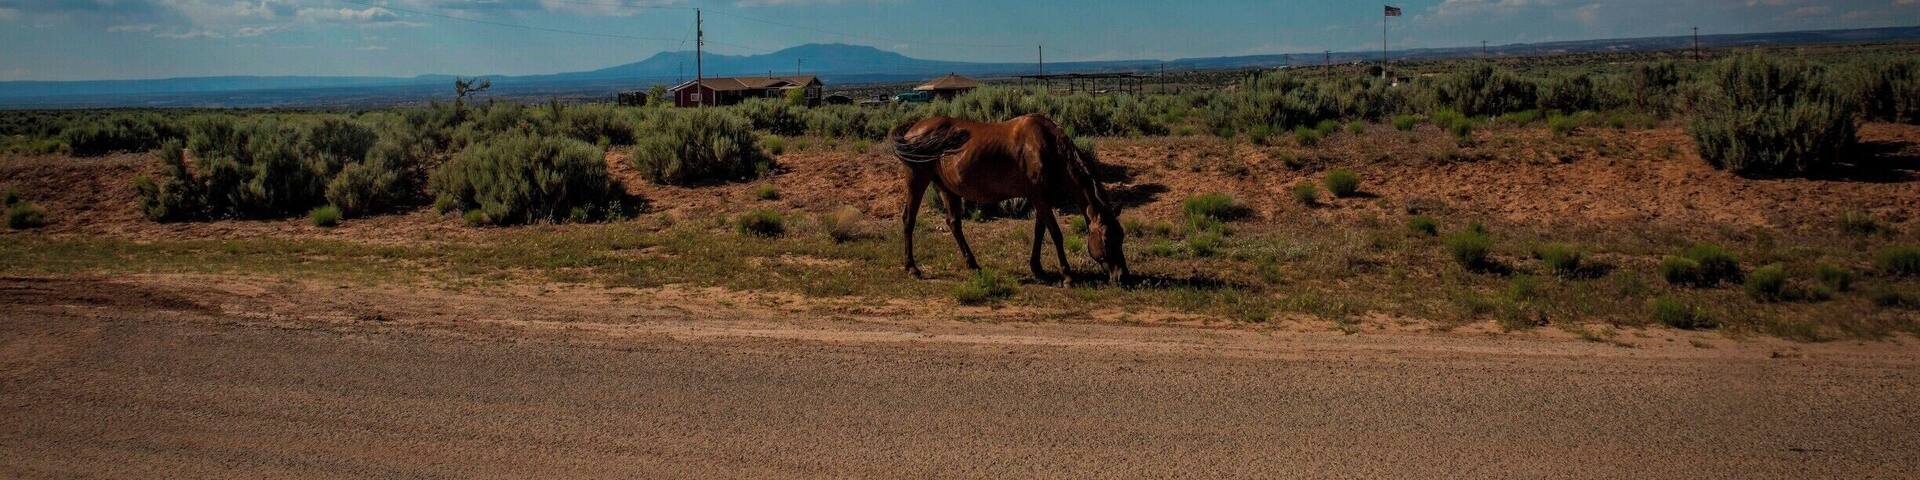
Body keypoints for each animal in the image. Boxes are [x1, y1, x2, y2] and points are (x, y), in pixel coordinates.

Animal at [888, 114, 1128, 284]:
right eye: (1106, 238)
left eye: (1121, 236)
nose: (1122, 276)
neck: (1048, 147)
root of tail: (912, 129)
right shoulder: (1040, 198)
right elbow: (1056, 234)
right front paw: (1067, 276)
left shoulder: (1041, 199)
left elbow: (1040, 231)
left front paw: (1037, 268)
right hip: (917, 180)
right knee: (909, 219)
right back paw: (912, 268)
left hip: (947, 188)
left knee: (954, 223)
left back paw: (973, 264)